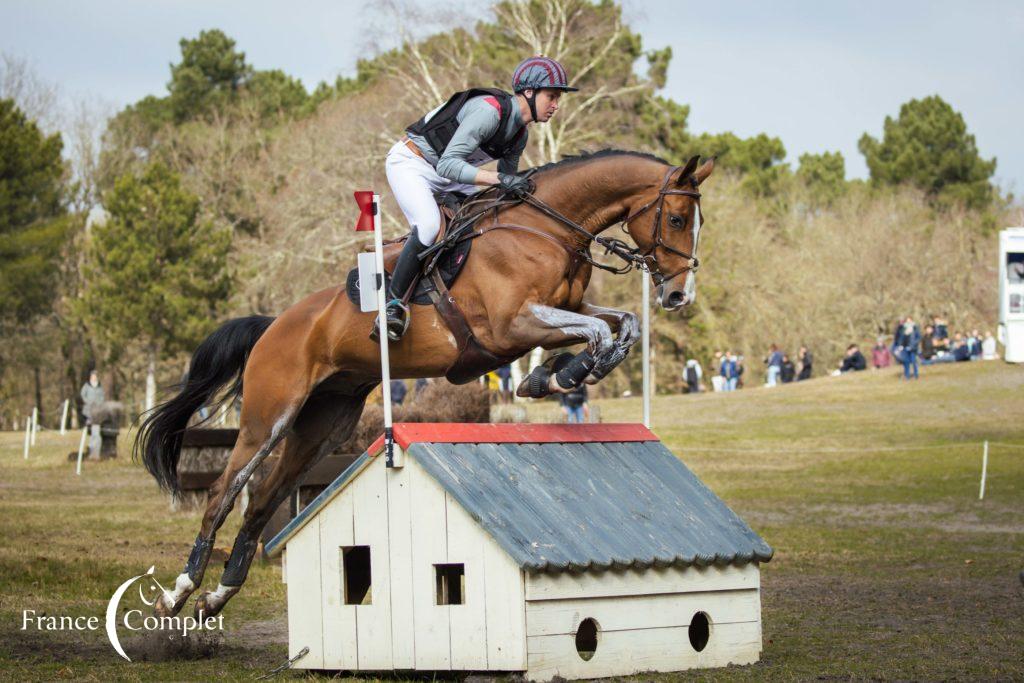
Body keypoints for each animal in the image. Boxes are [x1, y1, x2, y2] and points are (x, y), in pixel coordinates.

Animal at [134, 148, 712, 618]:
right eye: (677, 218)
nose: (678, 295)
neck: (543, 228)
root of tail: (274, 324)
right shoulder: (510, 327)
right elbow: (598, 331)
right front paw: (561, 374)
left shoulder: (558, 312)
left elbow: (621, 326)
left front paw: (553, 375)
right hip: (269, 416)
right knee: (224, 492)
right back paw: (179, 592)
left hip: (322, 424)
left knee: (261, 501)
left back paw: (218, 596)